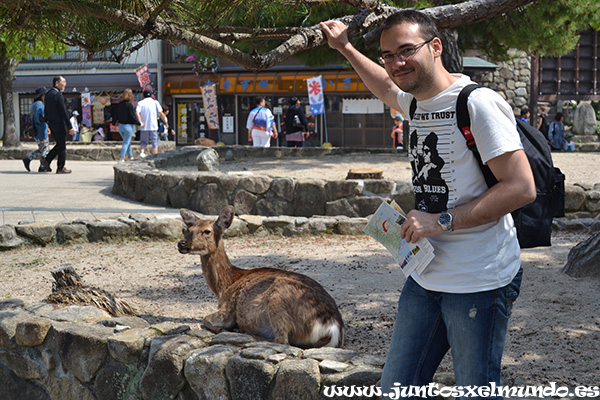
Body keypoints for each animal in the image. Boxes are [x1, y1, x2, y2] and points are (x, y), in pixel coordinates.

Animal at [177, 206, 342, 346]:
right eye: (187, 229)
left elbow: (205, 319)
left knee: (282, 341)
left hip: (279, 297)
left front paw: (223, 329)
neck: (225, 286)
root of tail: (332, 327)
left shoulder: (227, 310)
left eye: (207, 231)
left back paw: (243, 332)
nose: (181, 243)